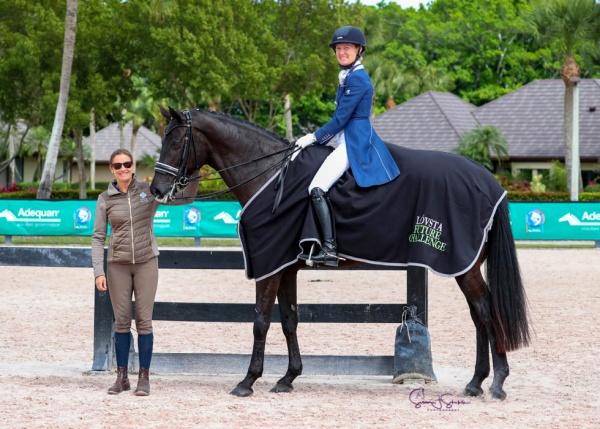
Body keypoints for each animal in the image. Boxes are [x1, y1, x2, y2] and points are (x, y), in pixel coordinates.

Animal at [150, 105, 528, 400]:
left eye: (175, 141)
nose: (156, 190)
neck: (270, 176)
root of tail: (488, 180)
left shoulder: (270, 266)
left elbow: (260, 322)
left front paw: (247, 381)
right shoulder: (287, 267)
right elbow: (289, 320)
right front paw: (288, 377)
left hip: (462, 264)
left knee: (485, 310)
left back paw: (496, 384)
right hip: (465, 265)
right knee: (479, 313)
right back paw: (477, 383)